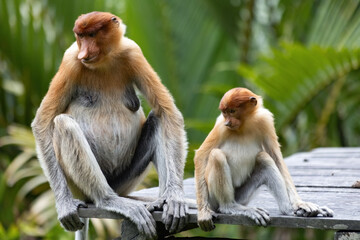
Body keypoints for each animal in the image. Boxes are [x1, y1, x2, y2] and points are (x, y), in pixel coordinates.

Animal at [31, 10, 188, 238]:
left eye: (92, 34)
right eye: (80, 36)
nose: (83, 53)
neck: (104, 61)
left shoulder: (133, 52)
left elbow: (168, 113)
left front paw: (175, 198)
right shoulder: (70, 61)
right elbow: (42, 122)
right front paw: (64, 206)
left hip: (126, 181)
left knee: (158, 119)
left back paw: (162, 201)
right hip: (80, 187)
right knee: (64, 124)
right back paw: (108, 200)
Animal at [195, 87, 334, 231]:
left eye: (232, 111)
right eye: (224, 113)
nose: (228, 122)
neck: (245, 124)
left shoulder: (265, 121)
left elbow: (276, 158)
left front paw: (299, 204)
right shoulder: (220, 126)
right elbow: (201, 156)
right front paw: (203, 214)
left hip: (241, 196)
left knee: (264, 158)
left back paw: (289, 210)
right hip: (212, 197)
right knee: (216, 155)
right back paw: (229, 207)